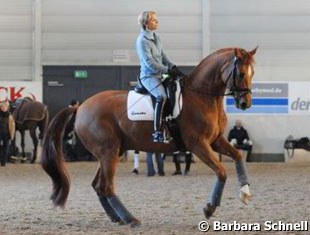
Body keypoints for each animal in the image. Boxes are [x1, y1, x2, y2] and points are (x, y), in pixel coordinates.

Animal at [42, 46, 258, 227]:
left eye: (252, 73)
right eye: (240, 73)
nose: (245, 103)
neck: (201, 96)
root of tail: (80, 107)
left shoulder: (215, 141)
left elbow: (238, 156)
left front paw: (245, 193)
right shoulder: (199, 145)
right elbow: (221, 171)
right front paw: (209, 208)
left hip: (109, 153)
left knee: (98, 186)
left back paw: (117, 218)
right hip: (108, 152)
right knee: (106, 186)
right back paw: (130, 219)